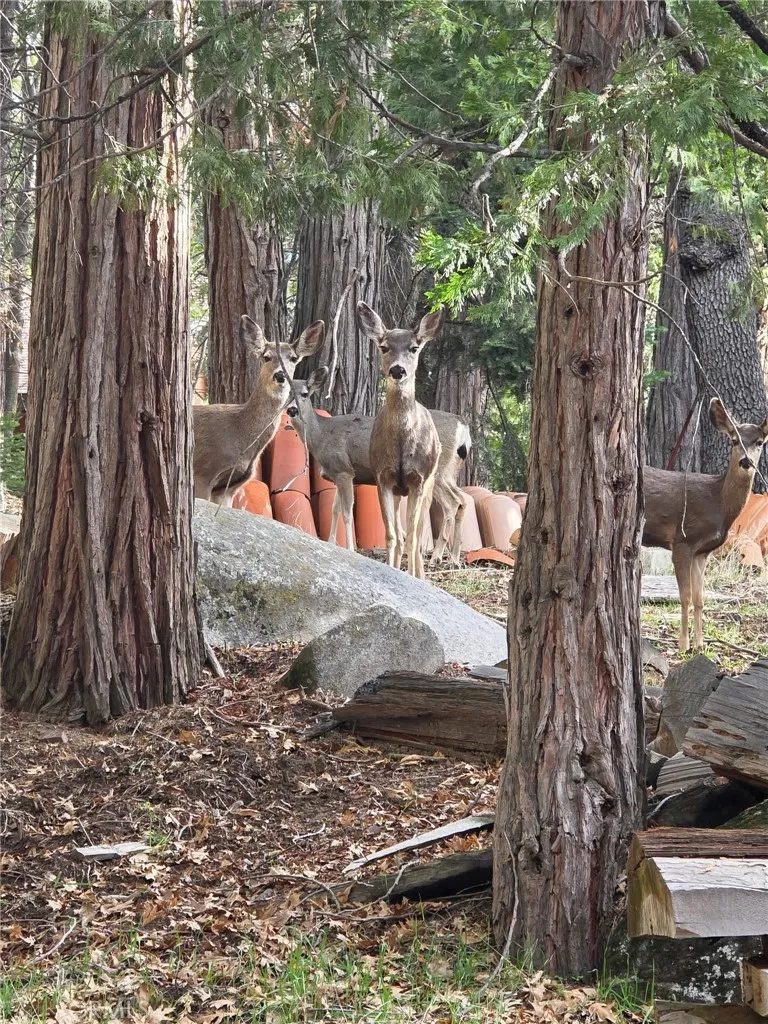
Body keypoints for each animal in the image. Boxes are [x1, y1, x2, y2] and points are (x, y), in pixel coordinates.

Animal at [286, 369, 471, 560]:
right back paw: (454, 557)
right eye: (286, 391)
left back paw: (437, 555)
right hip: (450, 470)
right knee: (463, 499)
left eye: (304, 394)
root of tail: (462, 426)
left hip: (435, 471)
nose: (292, 410)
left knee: (452, 502)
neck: (321, 435)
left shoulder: (344, 470)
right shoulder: (337, 475)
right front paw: (330, 543)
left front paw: (350, 549)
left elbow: (346, 512)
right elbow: (334, 509)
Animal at [357, 301, 443, 579]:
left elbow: (414, 538)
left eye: (414, 348)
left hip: (431, 482)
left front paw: (413, 577)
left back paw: (421, 574)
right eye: (384, 347)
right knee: (401, 532)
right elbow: (392, 535)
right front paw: (391, 571)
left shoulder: (418, 479)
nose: (398, 370)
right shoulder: (383, 478)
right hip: (398, 491)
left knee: (418, 534)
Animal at [643, 397, 768, 652]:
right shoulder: (683, 540)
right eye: (734, 440)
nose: (746, 461)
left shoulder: (703, 552)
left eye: (759, 442)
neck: (718, 504)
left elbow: (700, 598)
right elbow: (685, 596)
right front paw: (683, 645)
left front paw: (700, 645)